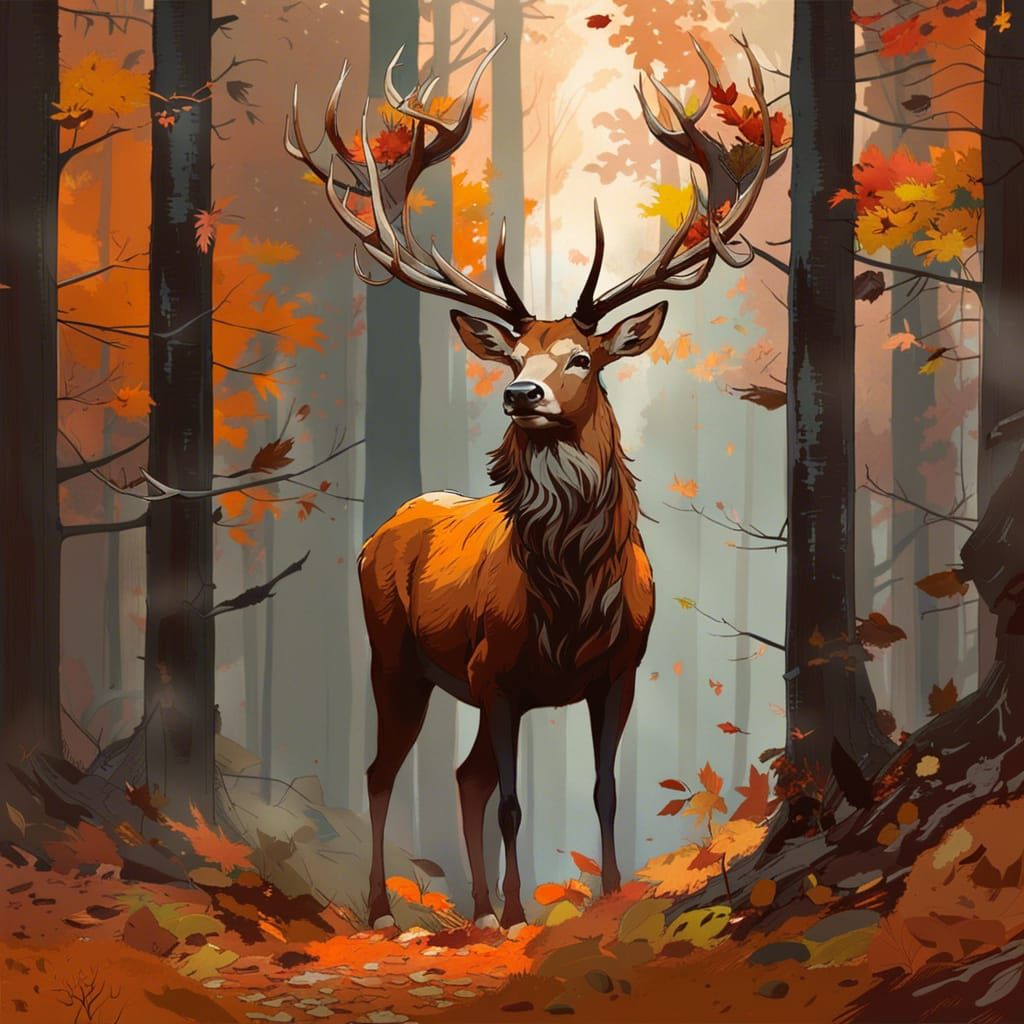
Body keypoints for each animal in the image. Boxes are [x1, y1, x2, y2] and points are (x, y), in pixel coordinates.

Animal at [287, 33, 774, 931]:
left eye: (581, 357)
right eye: (512, 355)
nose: (521, 394)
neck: (571, 595)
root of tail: (384, 530)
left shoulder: (619, 671)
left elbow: (604, 789)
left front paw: (607, 895)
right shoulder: (498, 673)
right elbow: (514, 803)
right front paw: (517, 916)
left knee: (463, 774)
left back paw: (474, 905)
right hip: (394, 654)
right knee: (385, 772)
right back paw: (388, 909)